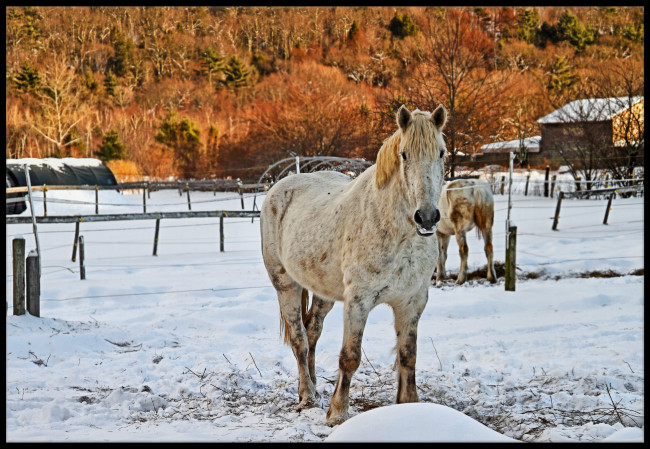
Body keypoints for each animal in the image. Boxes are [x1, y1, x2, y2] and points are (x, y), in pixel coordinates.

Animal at [258, 104, 446, 424]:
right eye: (404, 154)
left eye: (442, 153)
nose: (427, 217)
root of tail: (281, 186)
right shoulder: (358, 300)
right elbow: (350, 356)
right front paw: (337, 412)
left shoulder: (412, 301)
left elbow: (408, 355)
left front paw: (409, 405)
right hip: (286, 286)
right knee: (299, 338)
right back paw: (307, 396)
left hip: (322, 291)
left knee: (312, 331)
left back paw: (313, 385)